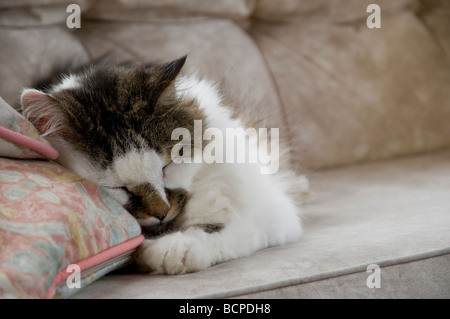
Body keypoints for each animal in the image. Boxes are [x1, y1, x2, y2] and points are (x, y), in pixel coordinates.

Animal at [21, 55, 310, 276]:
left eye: (166, 167)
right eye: (118, 188)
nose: (162, 213)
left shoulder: (273, 213)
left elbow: (225, 228)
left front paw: (184, 237)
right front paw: (171, 249)